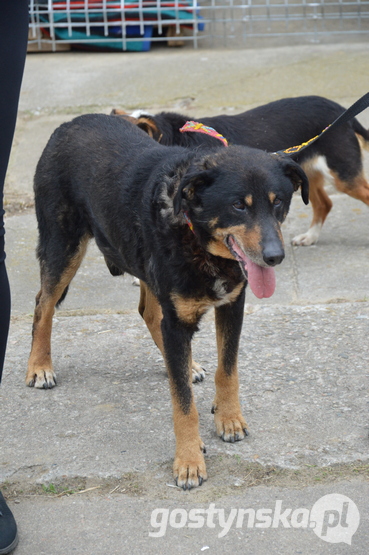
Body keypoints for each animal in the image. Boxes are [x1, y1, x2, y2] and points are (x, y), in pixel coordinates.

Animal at [26, 115, 308, 488]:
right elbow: (183, 405)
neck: (196, 236)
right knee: (43, 304)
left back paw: (188, 365)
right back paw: (39, 366)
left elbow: (227, 369)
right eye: (238, 205)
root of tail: (70, 123)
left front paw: (229, 417)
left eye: (278, 202)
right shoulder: (177, 321)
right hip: (63, 245)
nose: (275, 257)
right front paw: (188, 460)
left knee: (147, 312)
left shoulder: (232, 306)